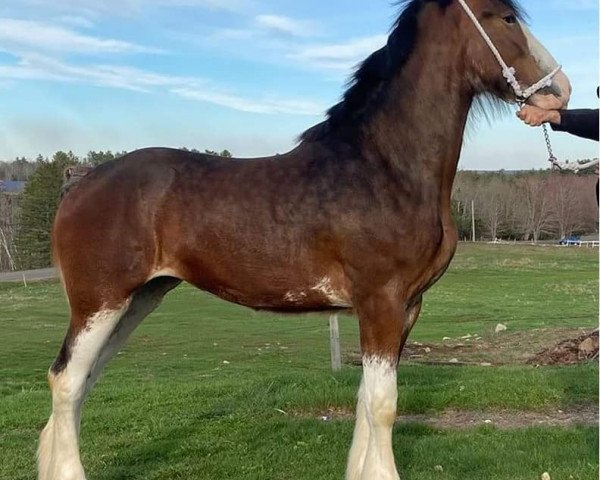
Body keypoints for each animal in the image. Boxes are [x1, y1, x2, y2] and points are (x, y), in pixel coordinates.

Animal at [39, 0, 568, 480]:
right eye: (507, 17)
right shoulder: (381, 301)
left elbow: (366, 400)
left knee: (83, 380)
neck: (385, 168)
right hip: (100, 302)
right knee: (66, 380)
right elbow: (383, 405)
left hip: (138, 299)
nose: (560, 91)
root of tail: (82, 180)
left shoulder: (407, 306)